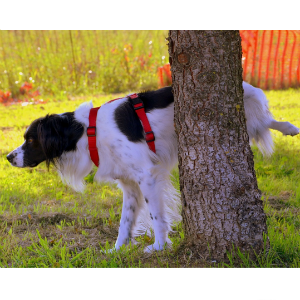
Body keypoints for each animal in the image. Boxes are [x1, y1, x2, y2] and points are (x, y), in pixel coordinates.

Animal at [5, 81, 298, 251]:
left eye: (30, 139)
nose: (8, 157)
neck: (88, 131)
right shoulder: (130, 185)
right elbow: (125, 222)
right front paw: (118, 251)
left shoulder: (147, 176)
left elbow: (157, 217)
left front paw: (159, 246)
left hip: (249, 109)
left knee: (267, 119)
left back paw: (290, 127)